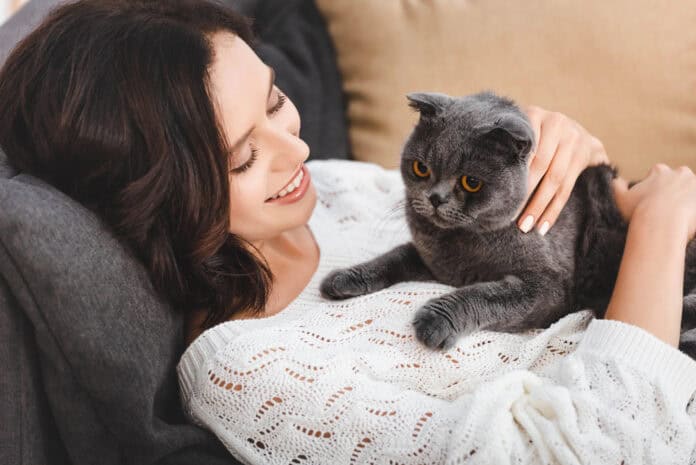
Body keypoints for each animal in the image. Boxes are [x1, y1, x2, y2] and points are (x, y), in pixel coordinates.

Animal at [318, 89, 696, 356]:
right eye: (420, 168)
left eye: (471, 182)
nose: (435, 198)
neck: (461, 246)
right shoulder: (433, 262)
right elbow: (394, 255)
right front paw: (343, 279)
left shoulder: (549, 286)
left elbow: (485, 294)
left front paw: (434, 321)